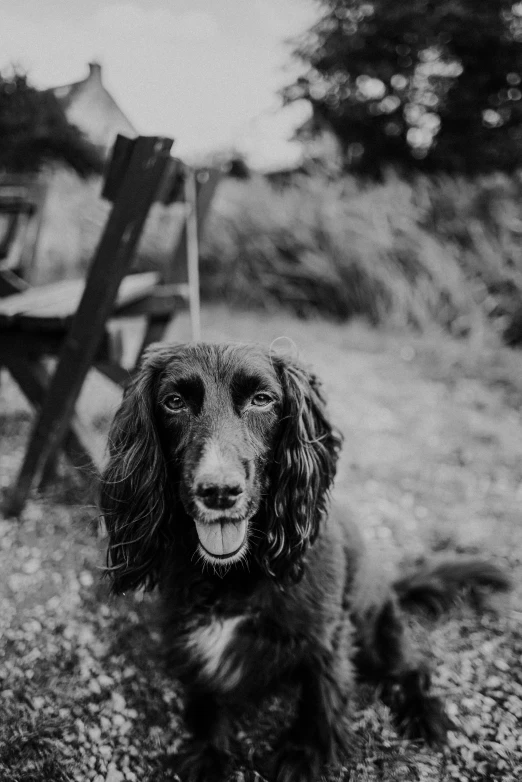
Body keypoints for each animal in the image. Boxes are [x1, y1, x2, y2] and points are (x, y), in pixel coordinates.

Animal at [99, 344, 510, 782]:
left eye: (262, 399)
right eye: (174, 402)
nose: (219, 491)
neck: (236, 573)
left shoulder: (326, 634)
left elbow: (321, 693)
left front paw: (304, 751)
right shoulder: (190, 632)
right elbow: (207, 692)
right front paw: (207, 752)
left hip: (375, 631)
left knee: (413, 667)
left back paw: (424, 714)